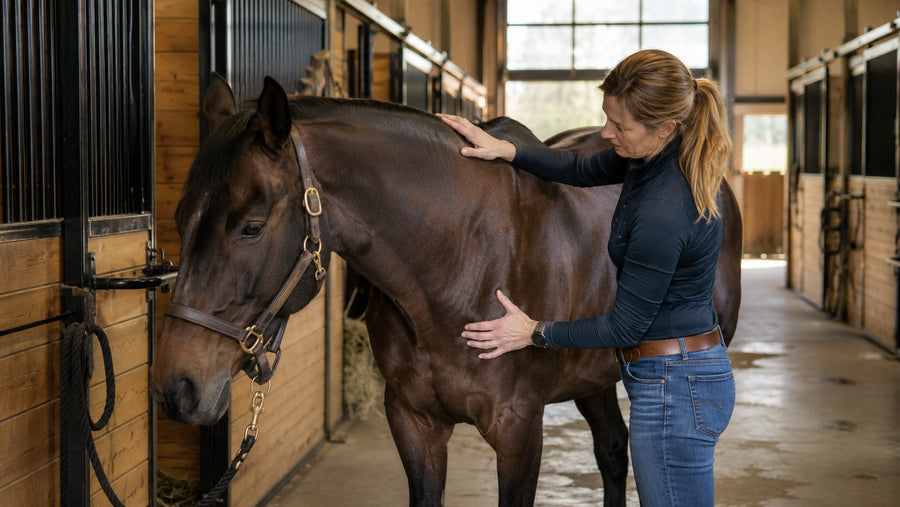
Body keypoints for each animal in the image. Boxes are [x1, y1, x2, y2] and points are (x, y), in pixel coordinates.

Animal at [150, 74, 742, 506]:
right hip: (593, 378)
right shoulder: (414, 423)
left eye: (250, 227)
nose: (174, 389)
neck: (459, 262)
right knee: (614, 451)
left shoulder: (519, 430)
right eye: (178, 217)